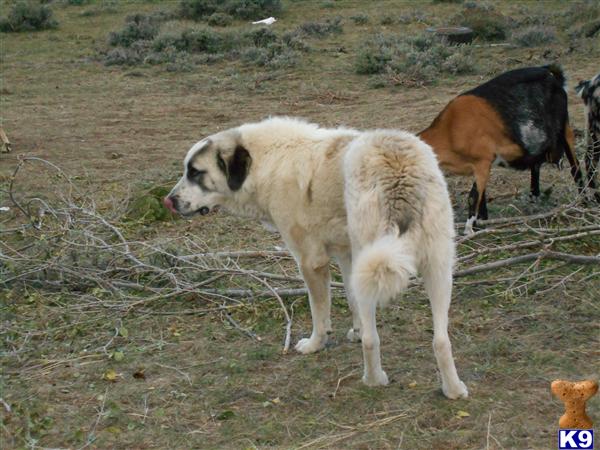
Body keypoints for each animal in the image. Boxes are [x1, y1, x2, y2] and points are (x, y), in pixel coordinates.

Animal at [164, 118, 468, 400]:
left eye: (195, 172)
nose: (169, 201)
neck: (268, 162)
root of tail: (397, 166)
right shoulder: (347, 255)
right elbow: (351, 299)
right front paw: (356, 330)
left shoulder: (311, 261)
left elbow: (319, 312)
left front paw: (315, 344)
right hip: (437, 267)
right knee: (441, 340)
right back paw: (453, 389)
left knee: (374, 340)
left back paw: (373, 379)